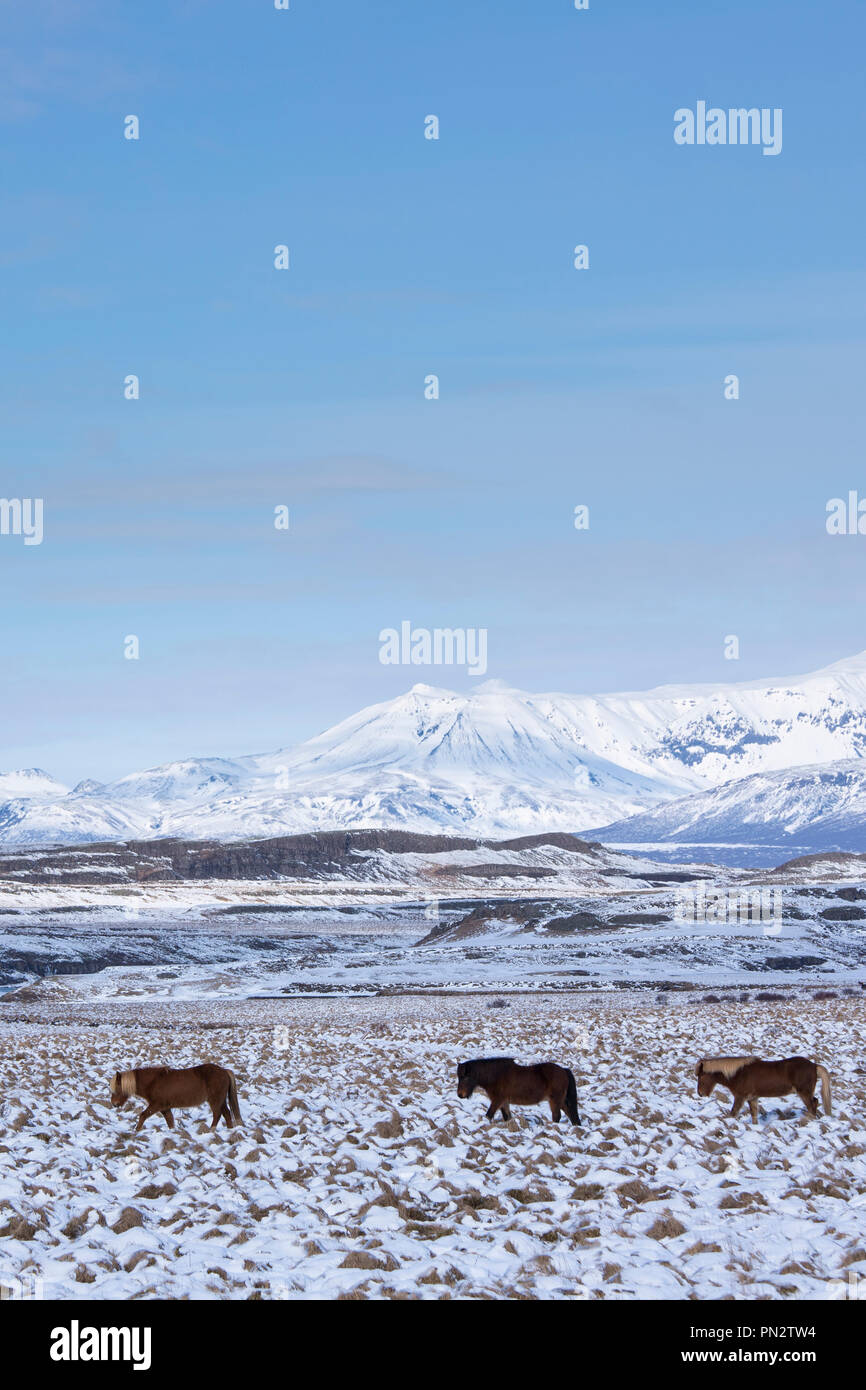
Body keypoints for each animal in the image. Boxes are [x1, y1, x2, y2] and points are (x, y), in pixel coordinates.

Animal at [111, 1061, 244, 1128]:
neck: (153, 1081)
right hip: (221, 1100)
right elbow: (170, 1122)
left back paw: (211, 1131)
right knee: (227, 1114)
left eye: (117, 1088)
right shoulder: (165, 1108)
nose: (114, 1104)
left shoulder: (156, 1105)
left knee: (218, 1114)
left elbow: (143, 1115)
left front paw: (136, 1131)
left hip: (215, 1100)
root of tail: (224, 1071)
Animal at [453, 1056, 583, 1123]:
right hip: (560, 1101)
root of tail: (564, 1070)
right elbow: (507, 1117)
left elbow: (489, 1115)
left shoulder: (497, 1100)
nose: (460, 1094)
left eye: (465, 1077)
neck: (496, 1075)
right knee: (570, 1113)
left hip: (555, 1100)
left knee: (557, 1116)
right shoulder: (504, 1102)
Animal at [695, 1050, 828, 1128]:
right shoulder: (752, 1098)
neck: (738, 1074)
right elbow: (754, 1115)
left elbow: (733, 1113)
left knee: (812, 1106)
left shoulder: (740, 1097)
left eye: (701, 1076)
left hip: (804, 1093)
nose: (700, 1093)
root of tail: (814, 1065)